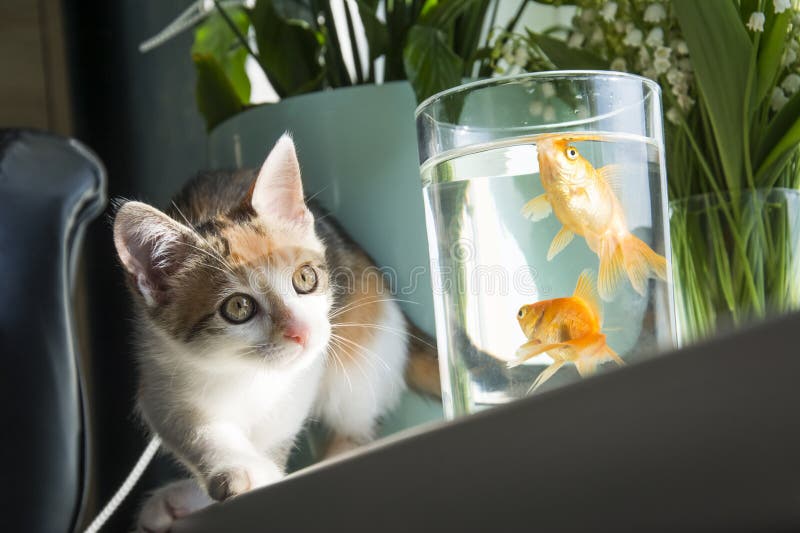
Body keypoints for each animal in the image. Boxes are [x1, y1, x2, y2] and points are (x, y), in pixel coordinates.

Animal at [111, 135, 438, 528]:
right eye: (238, 308)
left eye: (305, 278)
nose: (301, 332)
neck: (242, 371)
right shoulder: (159, 369)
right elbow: (191, 425)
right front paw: (237, 471)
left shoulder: (306, 371)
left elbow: (279, 426)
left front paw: (264, 472)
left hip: (364, 343)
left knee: (354, 424)